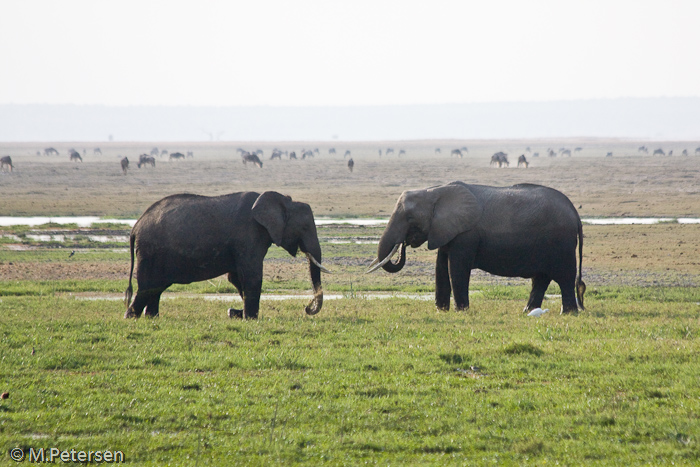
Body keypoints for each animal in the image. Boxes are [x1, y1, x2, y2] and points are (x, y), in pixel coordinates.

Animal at [126, 189, 328, 318]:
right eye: (305, 227)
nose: (306, 308)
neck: (283, 201)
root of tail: (136, 227)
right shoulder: (249, 235)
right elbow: (252, 276)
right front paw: (250, 318)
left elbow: (237, 278)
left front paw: (239, 314)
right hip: (150, 252)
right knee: (147, 287)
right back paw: (131, 317)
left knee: (155, 289)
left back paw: (152, 318)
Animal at [366, 182, 584, 314]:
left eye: (410, 218)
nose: (404, 244)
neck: (435, 191)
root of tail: (575, 212)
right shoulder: (446, 230)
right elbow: (441, 267)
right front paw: (441, 311)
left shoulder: (466, 235)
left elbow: (456, 268)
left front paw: (460, 311)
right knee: (541, 279)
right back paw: (527, 311)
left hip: (561, 242)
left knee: (564, 277)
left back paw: (568, 313)